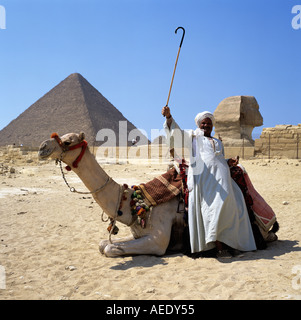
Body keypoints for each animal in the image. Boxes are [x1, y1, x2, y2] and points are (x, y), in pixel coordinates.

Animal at [38, 132, 184, 258]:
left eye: (67, 142)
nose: (42, 147)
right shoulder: (138, 234)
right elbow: (102, 244)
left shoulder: (157, 241)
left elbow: (108, 248)